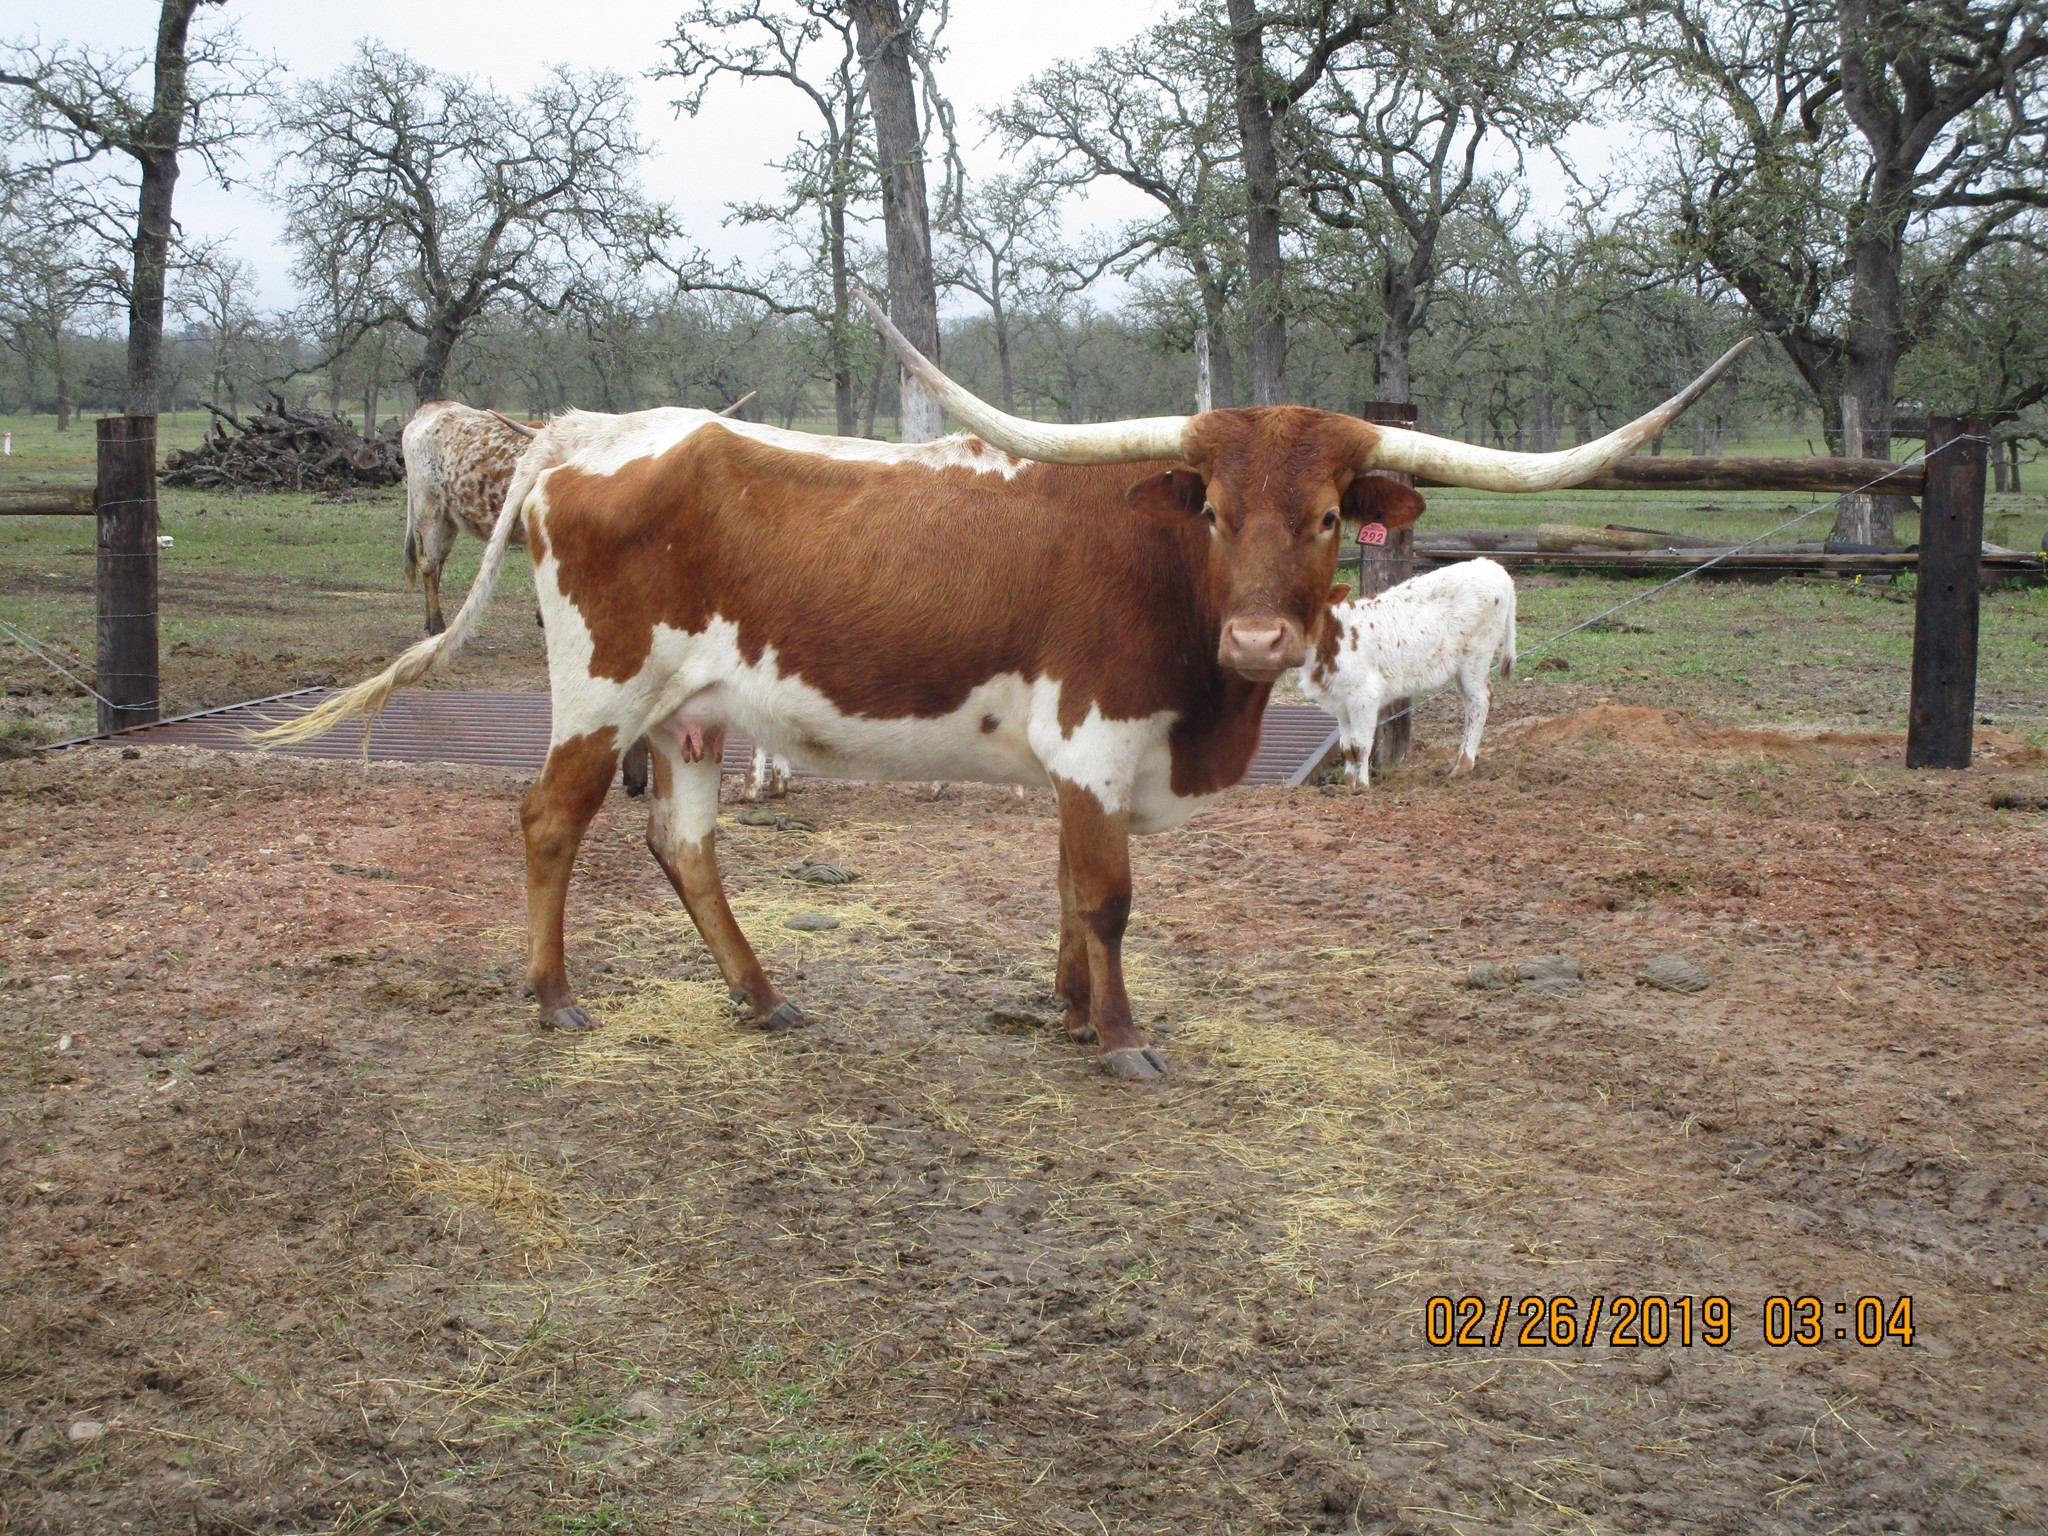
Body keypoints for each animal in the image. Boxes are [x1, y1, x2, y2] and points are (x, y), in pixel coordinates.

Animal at [265, 306, 1746, 1080]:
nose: (1262, 640)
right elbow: (1108, 898)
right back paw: (553, 997)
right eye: (1213, 508)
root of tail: (591, 433)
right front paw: (1123, 1041)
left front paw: (1069, 1011)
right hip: (600, 691)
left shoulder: (1089, 764)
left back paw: (761, 995)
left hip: (695, 712)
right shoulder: (1095, 744)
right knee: (548, 822)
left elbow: (1066, 894)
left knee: (681, 843)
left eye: (1330, 515)